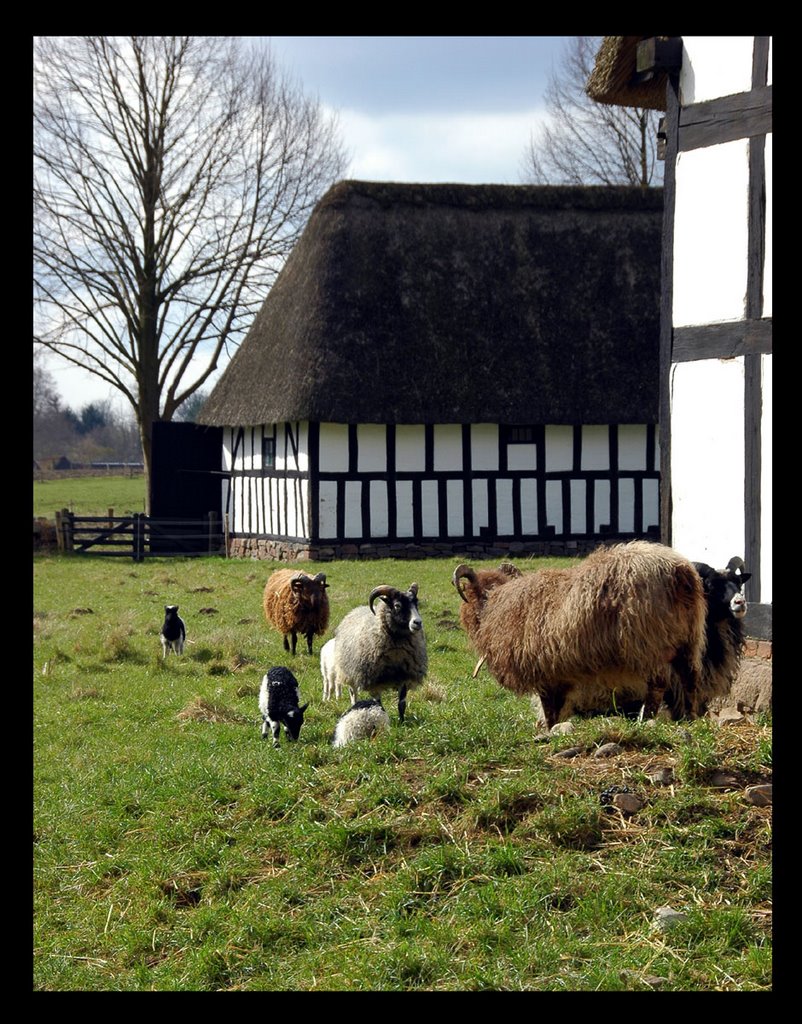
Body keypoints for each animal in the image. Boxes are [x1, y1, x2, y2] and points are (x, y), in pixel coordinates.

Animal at [333, 585, 430, 720]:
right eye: (397, 605)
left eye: (416, 604)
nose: (418, 622)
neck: (396, 652)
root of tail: (354, 610)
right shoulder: (374, 680)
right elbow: (379, 704)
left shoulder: (404, 676)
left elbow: (401, 704)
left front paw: (402, 721)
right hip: (349, 671)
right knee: (353, 693)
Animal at [450, 540, 708, 733]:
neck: (496, 604)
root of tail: (679, 571)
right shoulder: (559, 675)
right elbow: (557, 709)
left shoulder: (543, 672)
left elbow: (550, 710)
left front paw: (549, 731)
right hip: (688, 642)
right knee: (690, 679)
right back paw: (691, 717)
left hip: (647, 643)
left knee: (657, 685)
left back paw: (646, 720)